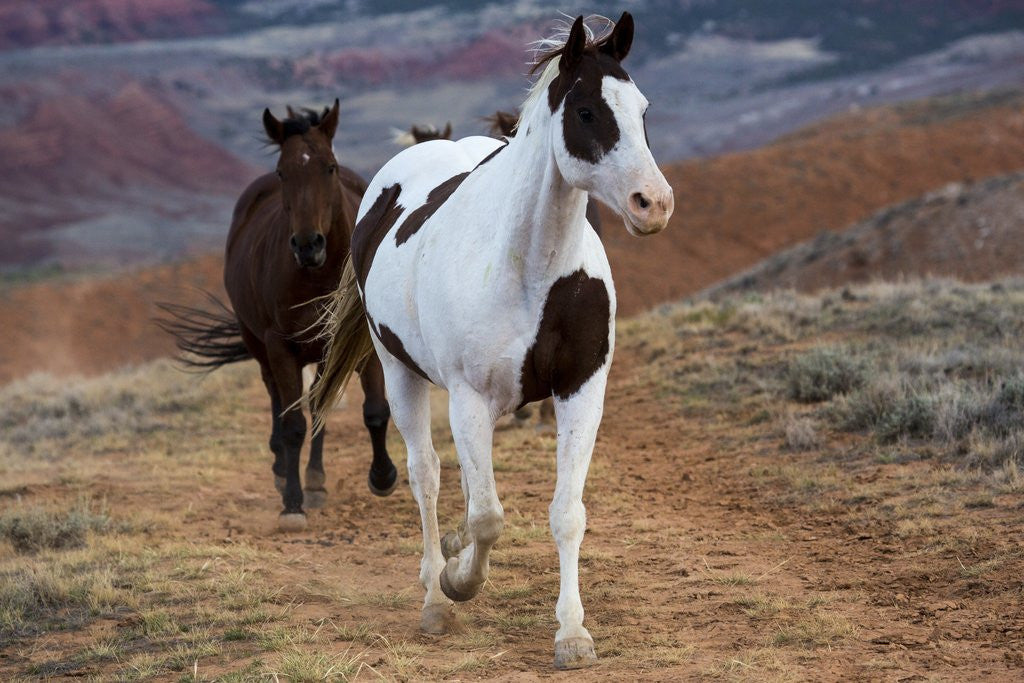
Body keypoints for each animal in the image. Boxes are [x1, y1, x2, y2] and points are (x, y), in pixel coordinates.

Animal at [157, 102, 398, 531]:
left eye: (330, 167)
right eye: (283, 171)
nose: (307, 245)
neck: (319, 274)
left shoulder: (357, 341)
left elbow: (373, 410)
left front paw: (383, 476)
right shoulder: (280, 346)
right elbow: (292, 425)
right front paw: (292, 503)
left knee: (318, 404)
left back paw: (316, 479)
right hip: (260, 344)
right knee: (277, 401)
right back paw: (283, 471)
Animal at [312, 13, 672, 667]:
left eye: (642, 109)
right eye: (586, 111)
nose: (653, 204)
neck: (530, 266)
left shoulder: (582, 390)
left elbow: (565, 514)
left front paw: (573, 633)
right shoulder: (469, 398)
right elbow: (487, 518)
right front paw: (458, 582)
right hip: (401, 375)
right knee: (427, 475)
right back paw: (435, 594)